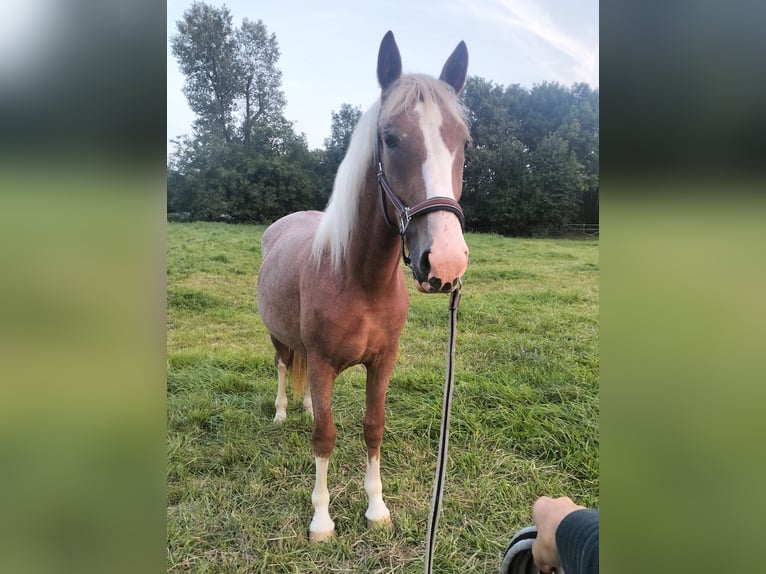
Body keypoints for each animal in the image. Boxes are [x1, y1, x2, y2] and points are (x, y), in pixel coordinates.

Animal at [258, 31, 472, 544]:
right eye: (390, 138)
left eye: (464, 143)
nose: (446, 261)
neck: (359, 279)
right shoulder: (321, 362)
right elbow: (324, 436)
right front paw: (321, 520)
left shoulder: (383, 360)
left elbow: (372, 427)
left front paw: (376, 508)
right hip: (278, 337)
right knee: (282, 366)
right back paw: (281, 412)